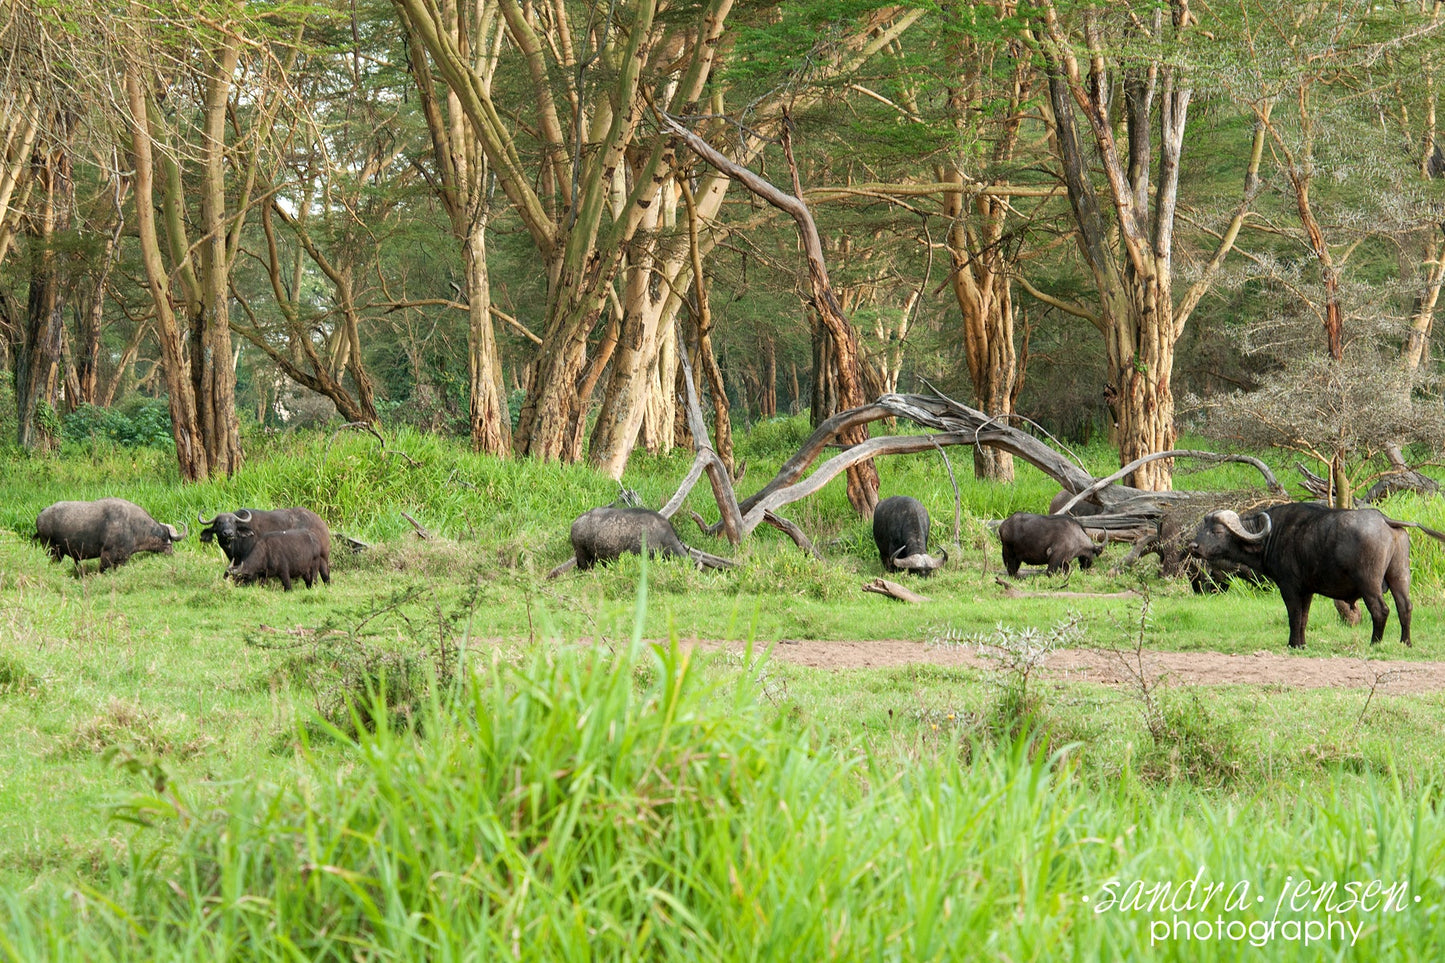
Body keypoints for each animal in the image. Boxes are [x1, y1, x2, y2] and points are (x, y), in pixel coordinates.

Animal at [34, 494, 189, 569]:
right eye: (170, 543)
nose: (171, 553)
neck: (133, 526)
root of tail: (42, 513)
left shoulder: (123, 558)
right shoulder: (107, 555)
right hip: (52, 550)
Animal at [1184, 497, 1433, 647]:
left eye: (1217, 531)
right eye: (1203, 527)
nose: (1193, 546)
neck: (1270, 535)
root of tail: (1384, 519)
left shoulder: (1289, 587)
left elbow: (1294, 615)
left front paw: (1292, 644)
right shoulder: (1308, 590)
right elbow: (1304, 617)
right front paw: (1301, 643)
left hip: (1369, 583)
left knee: (1381, 610)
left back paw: (1375, 642)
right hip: (1399, 576)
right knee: (1405, 607)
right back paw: (1405, 642)